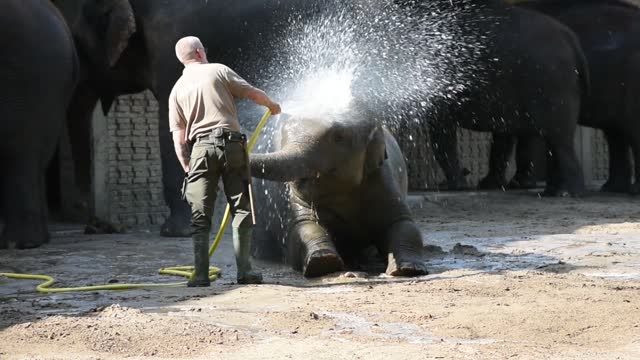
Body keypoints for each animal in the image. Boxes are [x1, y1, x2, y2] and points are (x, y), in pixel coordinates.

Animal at [252, 102, 428, 278]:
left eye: (339, 137)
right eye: (282, 135)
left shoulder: (383, 178)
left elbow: (403, 224)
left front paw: (408, 269)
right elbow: (304, 226)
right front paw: (322, 263)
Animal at [422, 0, 588, 197]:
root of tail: (572, 40)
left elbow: (441, 129)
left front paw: (458, 186)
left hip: (552, 83)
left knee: (558, 138)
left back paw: (570, 193)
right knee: (550, 138)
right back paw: (550, 191)